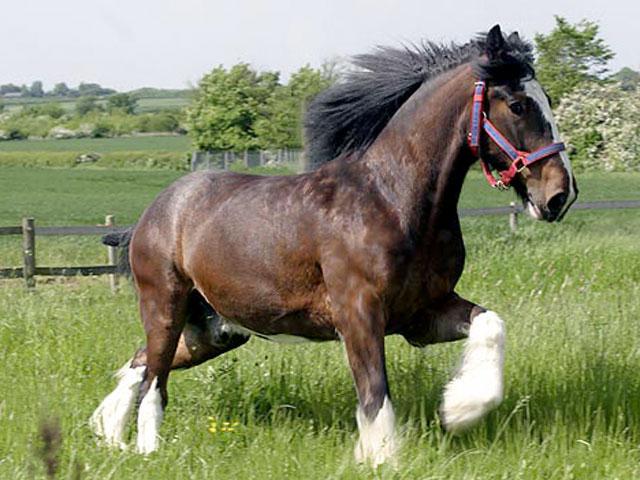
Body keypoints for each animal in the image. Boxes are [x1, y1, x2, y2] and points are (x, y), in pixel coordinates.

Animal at [91, 25, 580, 464]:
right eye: (518, 104)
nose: (560, 196)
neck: (392, 200)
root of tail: (157, 210)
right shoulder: (358, 313)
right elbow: (375, 392)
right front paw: (382, 458)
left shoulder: (422, 314)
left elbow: (491, 325)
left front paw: (458, 410)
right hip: (165, 305)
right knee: (154, 380)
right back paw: (145, 448)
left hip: (215, 329)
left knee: (140, 363)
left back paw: (107, 433)